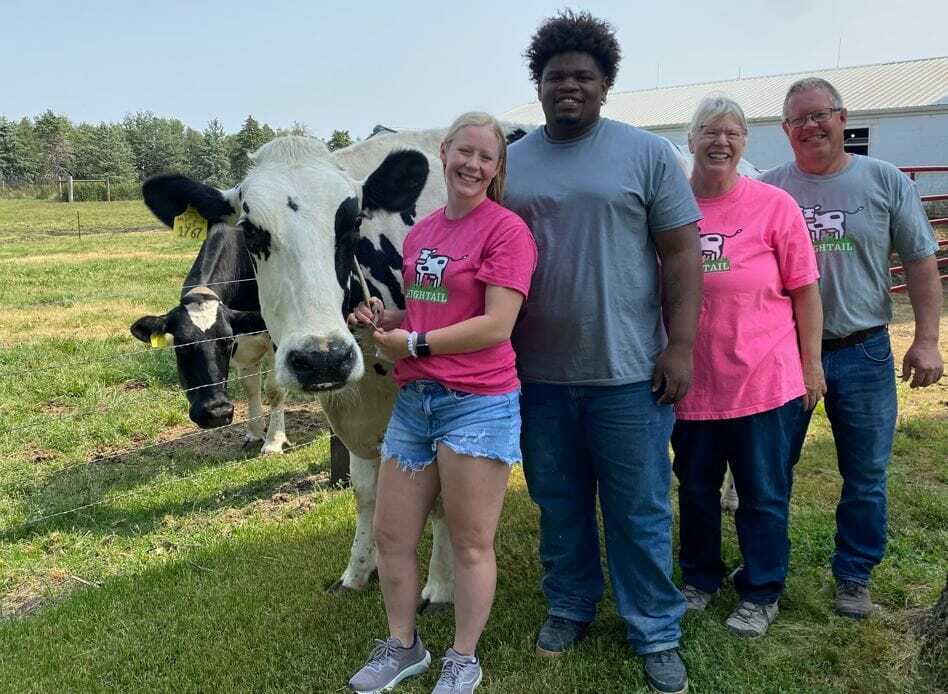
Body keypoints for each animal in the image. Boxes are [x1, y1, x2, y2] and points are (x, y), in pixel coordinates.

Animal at [130, 177, 286, 454]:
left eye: (225, 342)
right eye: (181, 346)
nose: (217, 413)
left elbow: (274, 388)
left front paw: (273, 442)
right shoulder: (244, 338)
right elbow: (250, 387)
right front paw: (255, 433)